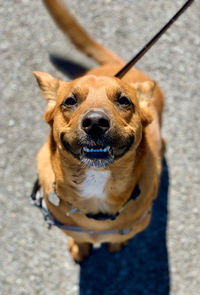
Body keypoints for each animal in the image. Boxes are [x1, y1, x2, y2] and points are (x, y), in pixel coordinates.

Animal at [32, 0, 164, 264]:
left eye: (124, 100)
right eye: (70, 101)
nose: (95, 123)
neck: (96, 183)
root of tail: (118, 64)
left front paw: (117, 243)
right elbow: (81, 238)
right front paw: (80, 246)